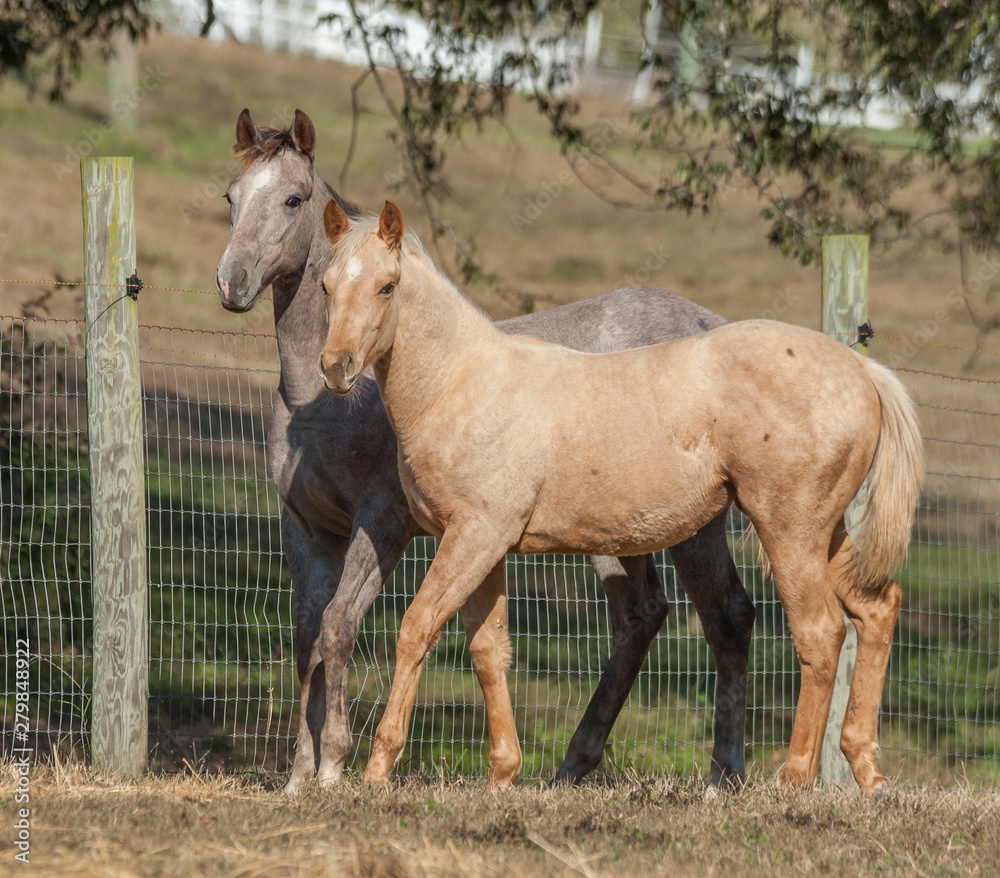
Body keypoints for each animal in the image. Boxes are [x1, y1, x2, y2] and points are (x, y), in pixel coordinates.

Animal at [215, 108, 754, 794]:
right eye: (231, 197)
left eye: (292, 198)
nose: (232, 282)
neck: (330, 402)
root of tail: (712, 325)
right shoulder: (308, 526)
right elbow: (308, 636)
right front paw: (300, 775)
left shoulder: (383, 524)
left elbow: (339, 626)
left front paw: (335, 765)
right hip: (623, 531)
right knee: (641, 616)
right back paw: (570, 768)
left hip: (694, 529)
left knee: (727, 617)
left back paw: (722, 776)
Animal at [318, 199, 924, 795]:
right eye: (325, 285)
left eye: (388, 286)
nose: (335, 367)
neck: (462, 384)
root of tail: (861, 369)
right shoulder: (482, 546)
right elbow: (489, 651)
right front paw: (502, 775)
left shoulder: (473, 537)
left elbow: (416, 629)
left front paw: (376, 770)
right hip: (827, 532)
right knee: (876, 609)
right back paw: (867, 771)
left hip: (787, 530)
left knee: (819, 632)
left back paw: (792, 779)